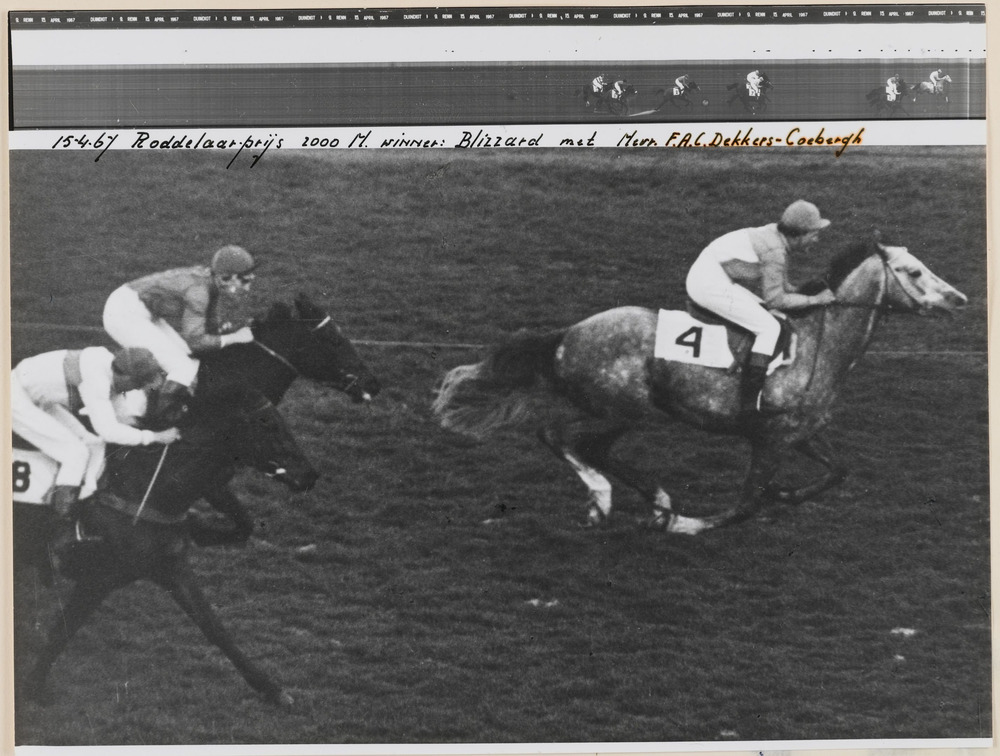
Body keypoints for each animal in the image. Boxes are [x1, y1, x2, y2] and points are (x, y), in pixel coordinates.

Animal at [15, 381, 318, 706]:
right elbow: (63, 630)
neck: (143, 489)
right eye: (267, 423)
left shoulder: (172, 566)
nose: (310, 474)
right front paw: (33, 686)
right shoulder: (97, 578)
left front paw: (271, 688)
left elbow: (215, 628)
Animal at [433, 234, 967, 535]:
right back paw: (617, 500)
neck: (819, 341)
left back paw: (641, 504)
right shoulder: (769, 438)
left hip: (612, 408)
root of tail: (567, 334)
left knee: (571, 441)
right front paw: (689, 525)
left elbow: (839, 471)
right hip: (625, 409)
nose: (959, 299)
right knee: (570, 440)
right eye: (914, 271)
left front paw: (786, 496)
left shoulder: (802, 433)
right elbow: (746, 504)